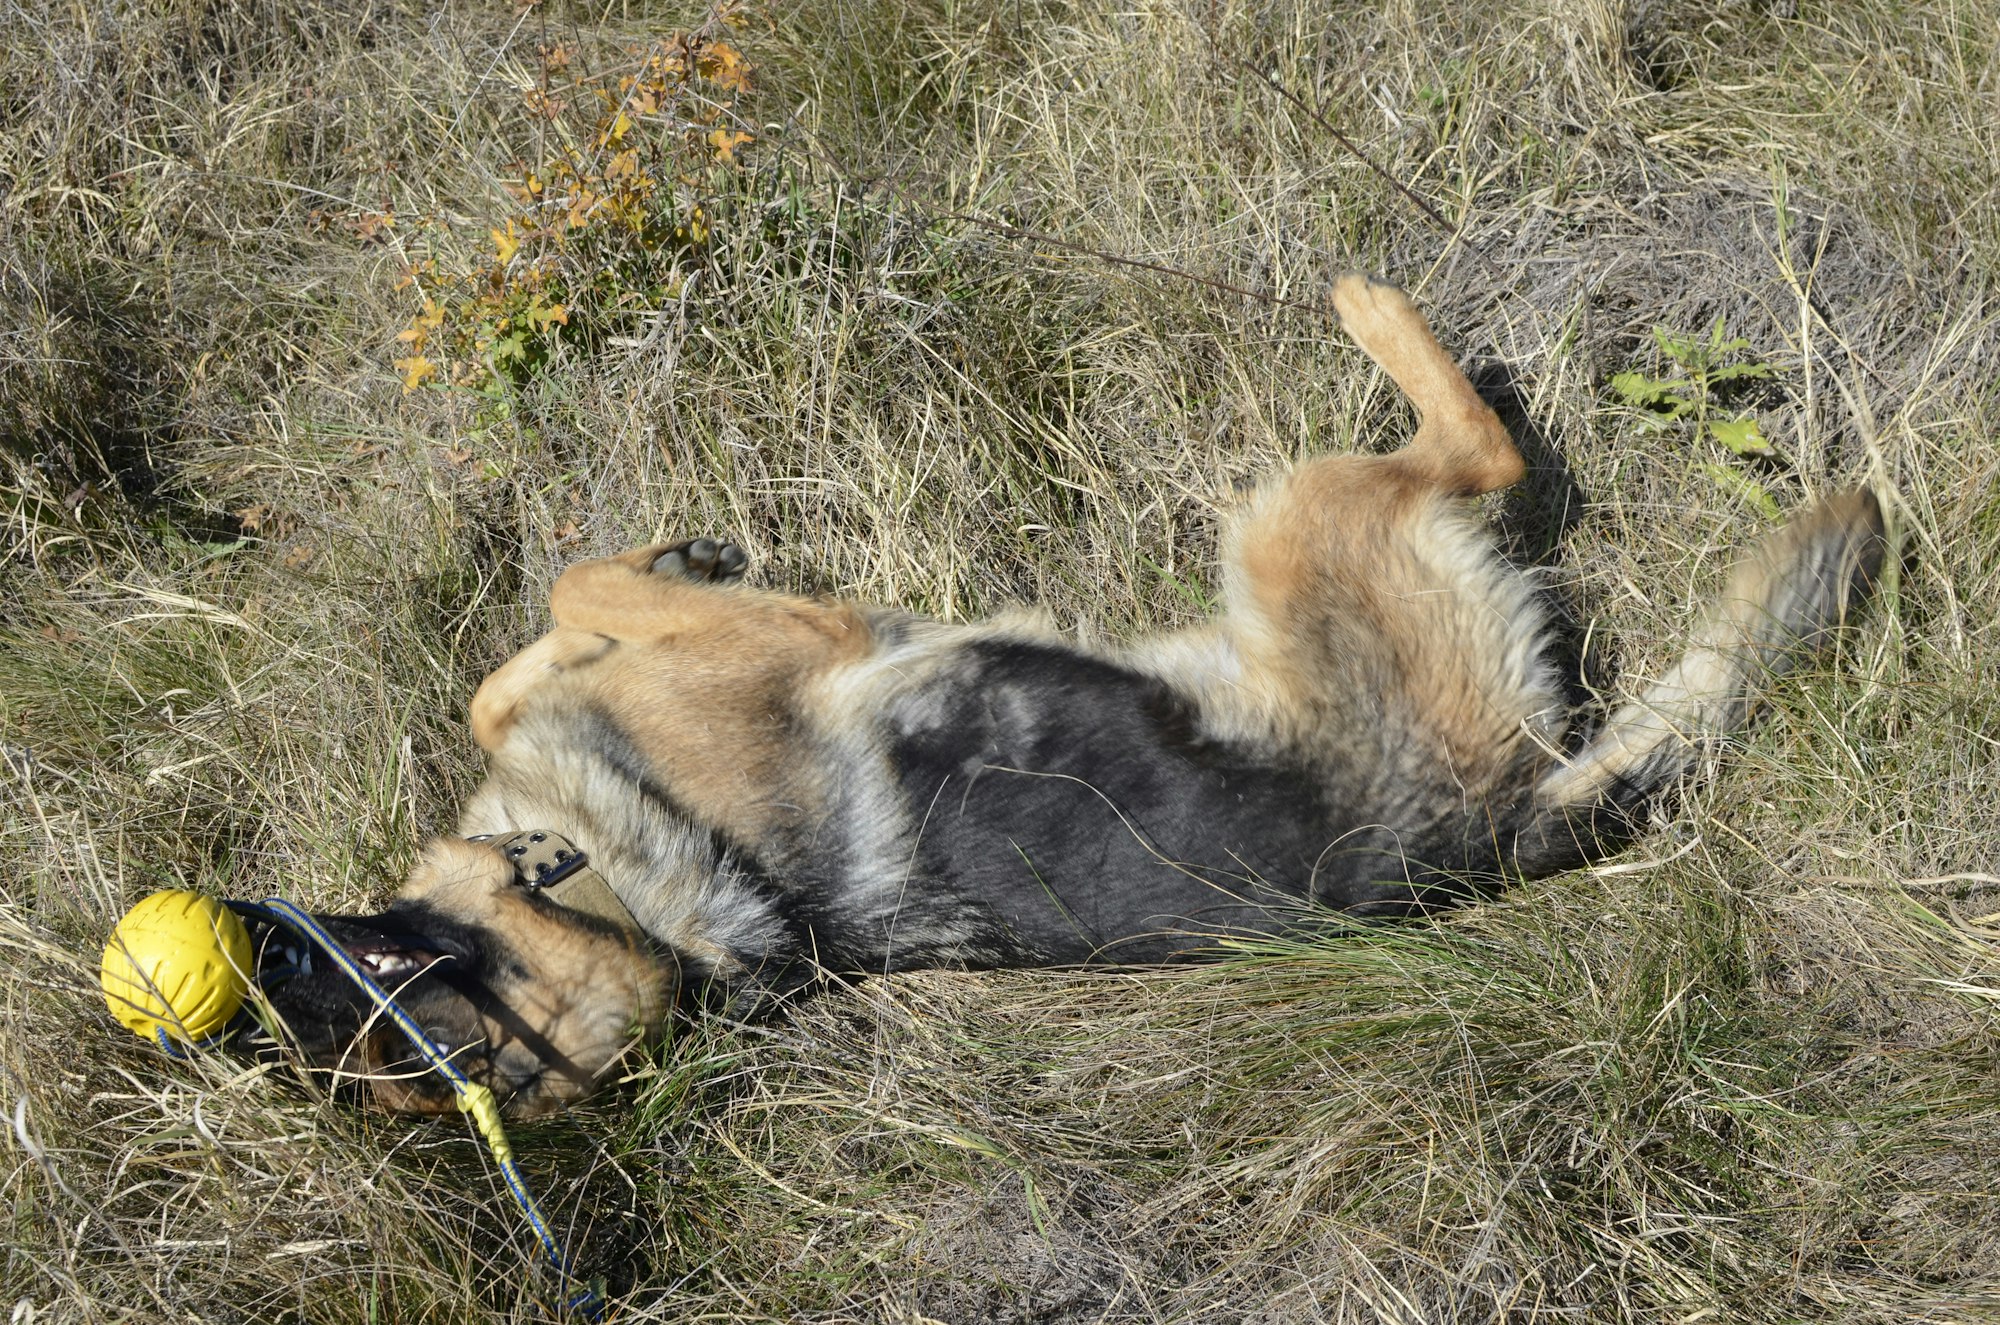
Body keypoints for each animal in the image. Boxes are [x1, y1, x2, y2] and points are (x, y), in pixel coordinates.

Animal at [254, 278, 1888, 1120]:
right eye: (428, 1052)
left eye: (387, 1010)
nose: (256, 967)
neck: (649, 898)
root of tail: (1482, 834)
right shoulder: (792, 632)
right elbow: (553, 623)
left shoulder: (771, 636)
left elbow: (531, 638)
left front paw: (644, 574)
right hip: (1296, 522)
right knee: (1476, 450)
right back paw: (1372, 305)